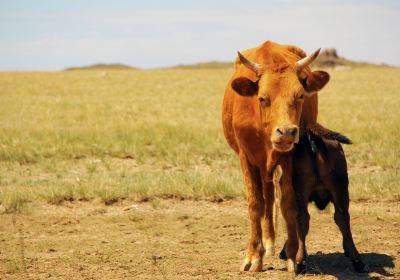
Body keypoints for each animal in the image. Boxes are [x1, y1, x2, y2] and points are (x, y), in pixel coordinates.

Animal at [222, 40, 332, 272]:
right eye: (262, 98)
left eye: (300, 95)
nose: (287, 132)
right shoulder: (246, 158)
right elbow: (255, 204)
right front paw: (253, 256)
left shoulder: (290, 158)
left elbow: (289, 202)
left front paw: (292, 254)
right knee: (267, 196)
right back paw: (267, 243)